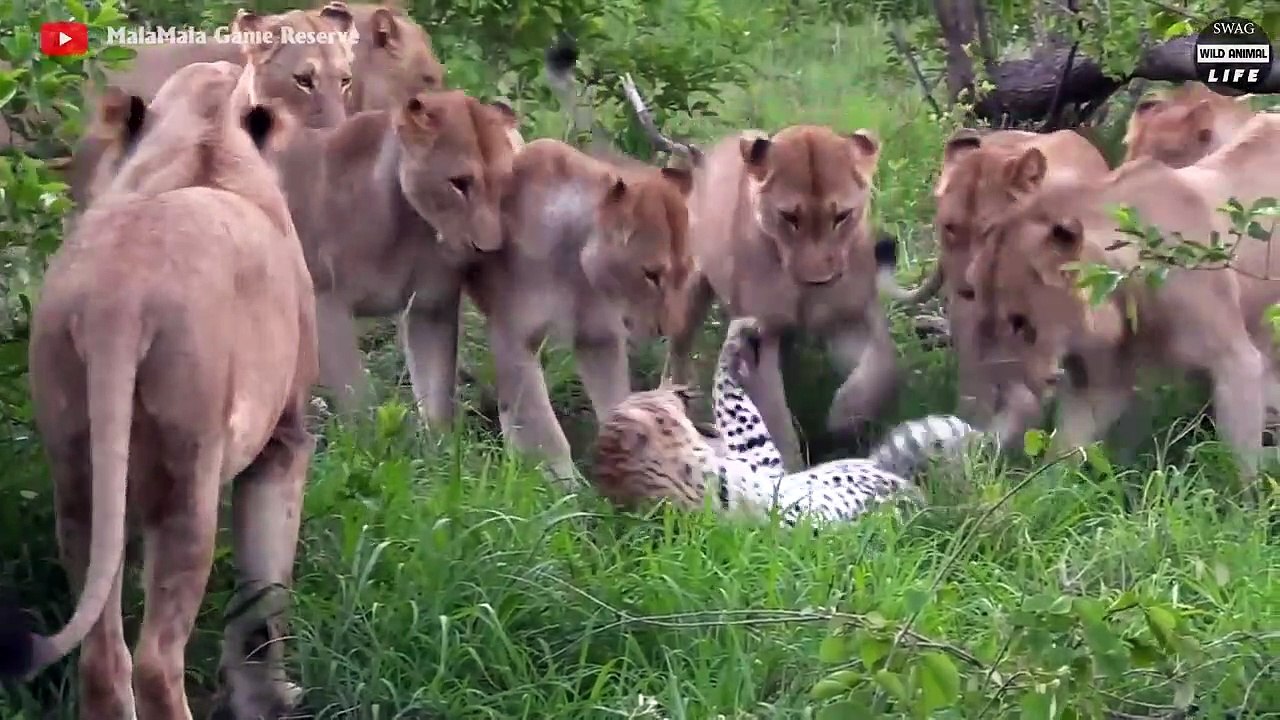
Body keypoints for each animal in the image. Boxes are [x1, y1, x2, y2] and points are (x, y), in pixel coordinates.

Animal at [0, 61, 317, 720]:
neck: (206, 136)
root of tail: (119, 299)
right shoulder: (285, 441)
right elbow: (264, 595)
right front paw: (269, 698)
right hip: (187, 480)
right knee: (153, 661)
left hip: (80, 469)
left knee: (102, 657)